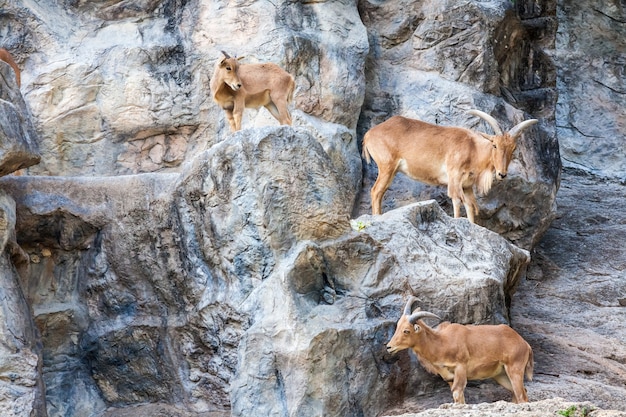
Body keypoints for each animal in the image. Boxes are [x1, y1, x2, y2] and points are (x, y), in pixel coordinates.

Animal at [360, 109, 536, 223]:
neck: (473, 149)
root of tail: (369, 134)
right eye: (494, 145)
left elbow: (470, 206)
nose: (502, 174)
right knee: (375, 191)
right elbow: (457, 200)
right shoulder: (454, 177)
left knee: (379, 192)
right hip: (387, 166)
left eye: (513, 149)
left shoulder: (467, 186)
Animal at [386, 296, 532, 404]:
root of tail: (524, 343)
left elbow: (457, 393)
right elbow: (459, 399)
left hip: (514, 369)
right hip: (501, 375)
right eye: (398, 326)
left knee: (521, 395)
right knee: (519, 392)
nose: (389, 347)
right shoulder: (449, 377)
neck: (441, 342)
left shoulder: (460, 368)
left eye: (406, 330)